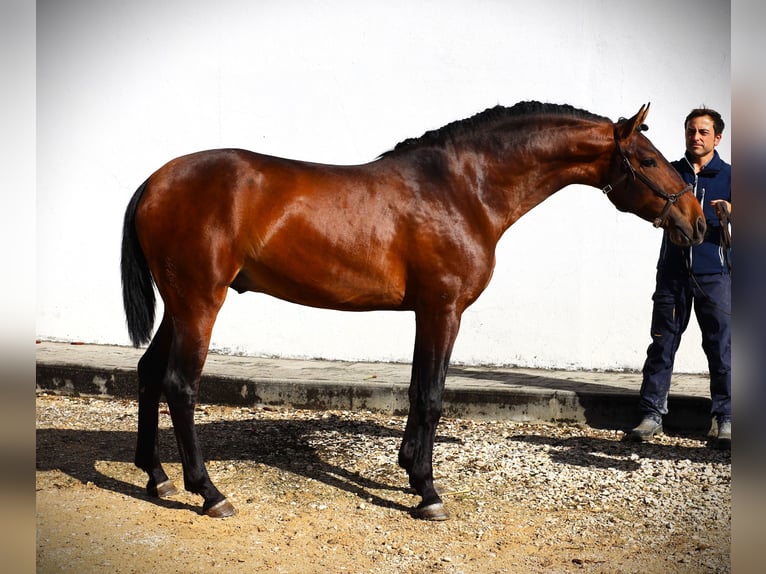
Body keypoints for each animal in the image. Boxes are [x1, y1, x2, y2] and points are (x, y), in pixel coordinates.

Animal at [121, 102, 708, 520]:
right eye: (650, 160)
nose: (698, 221)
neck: (464, 189)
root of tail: (155, 180)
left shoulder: (432, 312)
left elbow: (418, 390)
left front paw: (411, 472)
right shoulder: (442, 309)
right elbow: (429, 395)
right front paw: (427, 491)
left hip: (180, 305)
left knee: (149, 372)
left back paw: (156, 476)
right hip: (200, 301)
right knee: (180, 384)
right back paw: (208, 491)